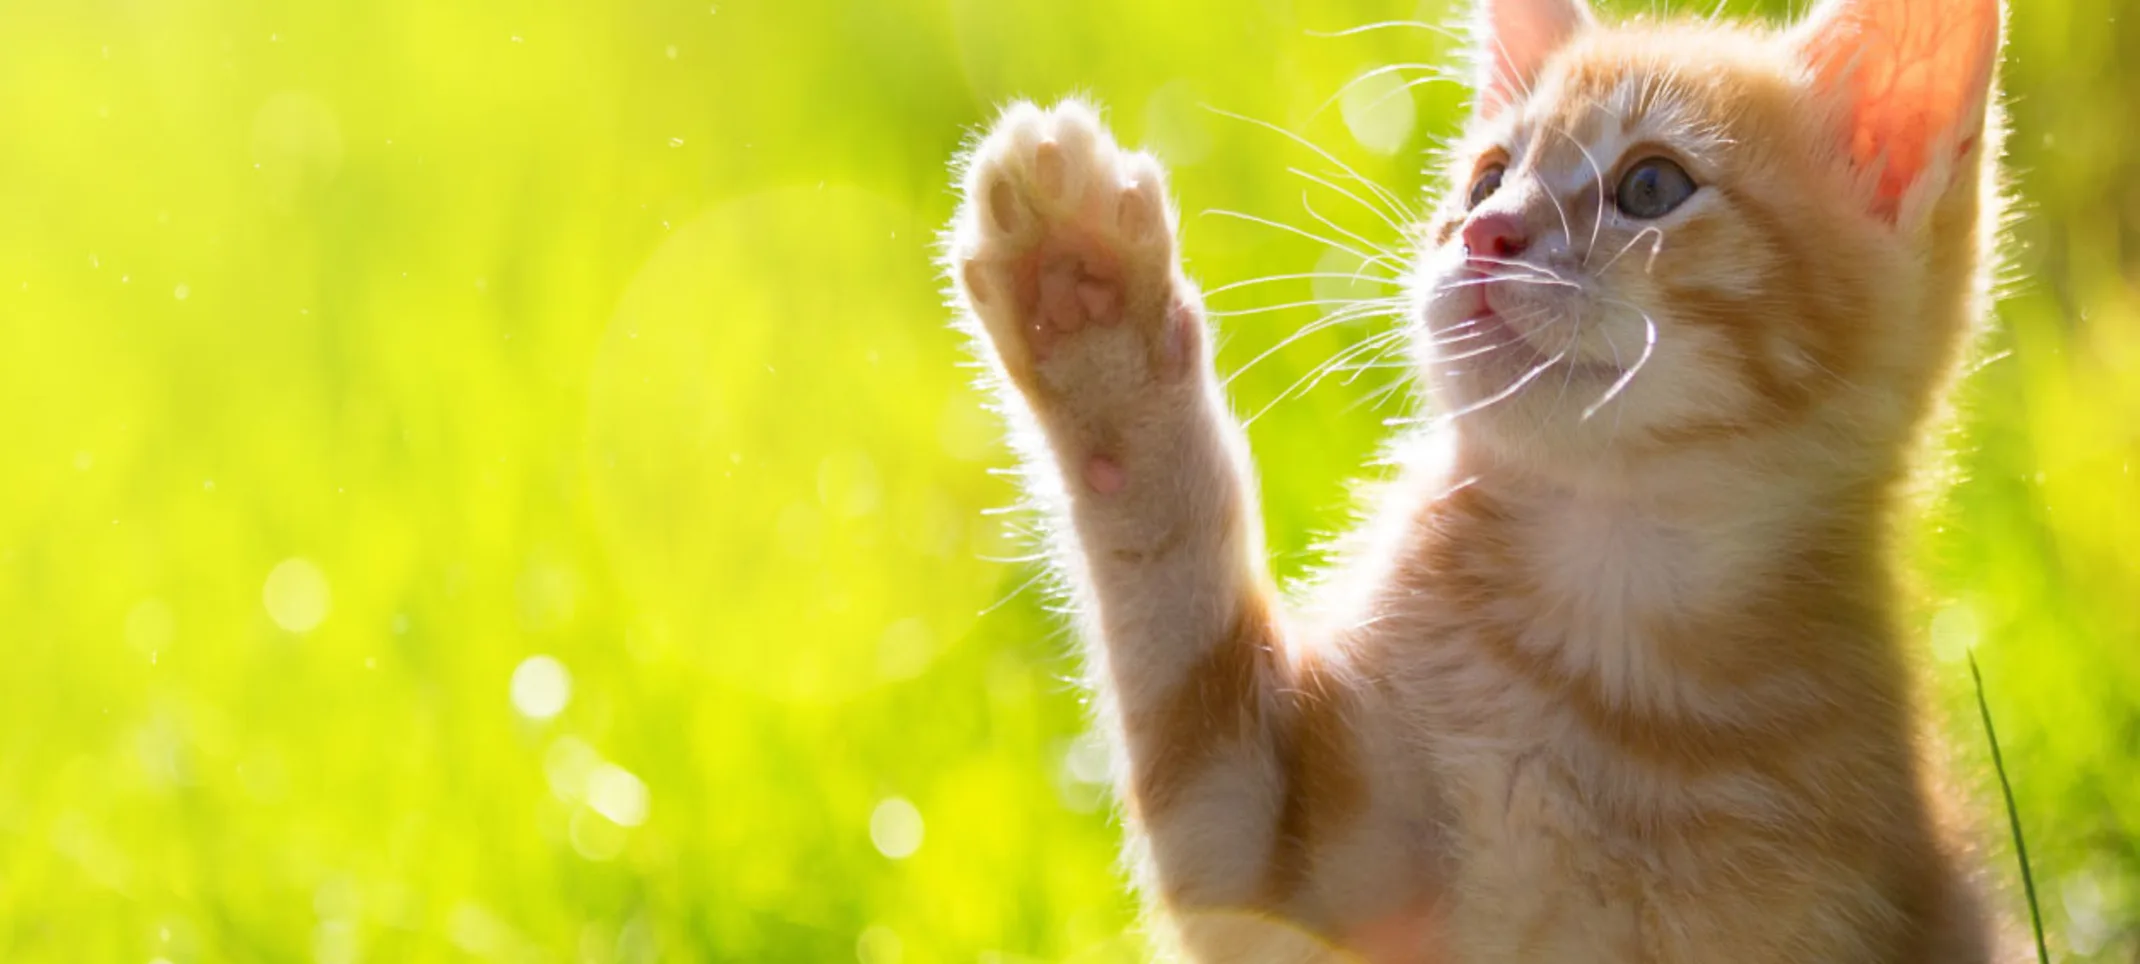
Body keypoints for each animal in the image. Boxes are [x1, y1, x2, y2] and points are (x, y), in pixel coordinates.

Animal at [945, 0, 2011, 959]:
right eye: (1487, 178)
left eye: (1652, 185)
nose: (1485, 234)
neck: (1605, 651)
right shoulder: (1253, 836)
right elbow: (1174, 618)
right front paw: (1084, 303)